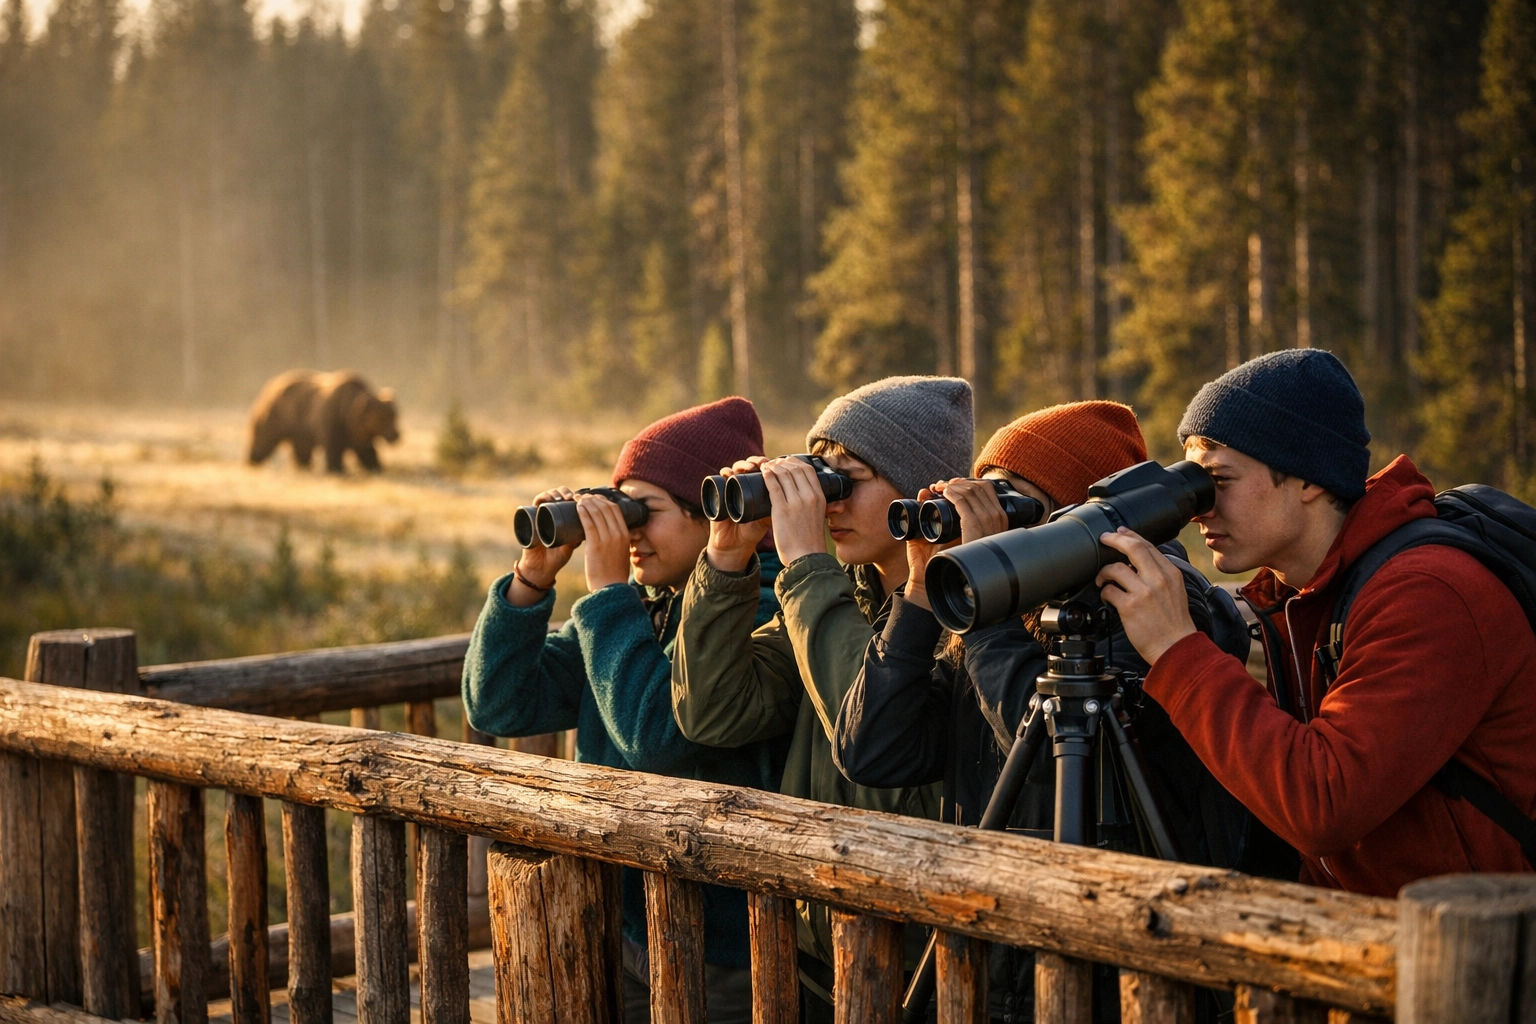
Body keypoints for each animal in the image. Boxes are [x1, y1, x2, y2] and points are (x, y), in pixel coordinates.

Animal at [248, 370, 399, 473]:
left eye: (395, 416)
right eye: (383, 419)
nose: (396, 435)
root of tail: (271, 384)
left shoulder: (359, 435)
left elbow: (367, 452)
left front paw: (376, 467)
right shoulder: (332, 422)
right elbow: (333, 449)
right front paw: (337, 470)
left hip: (299, 431)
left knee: (301, 451)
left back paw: (302, 466)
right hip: (277, 416)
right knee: (263, 441)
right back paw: (252, 461)